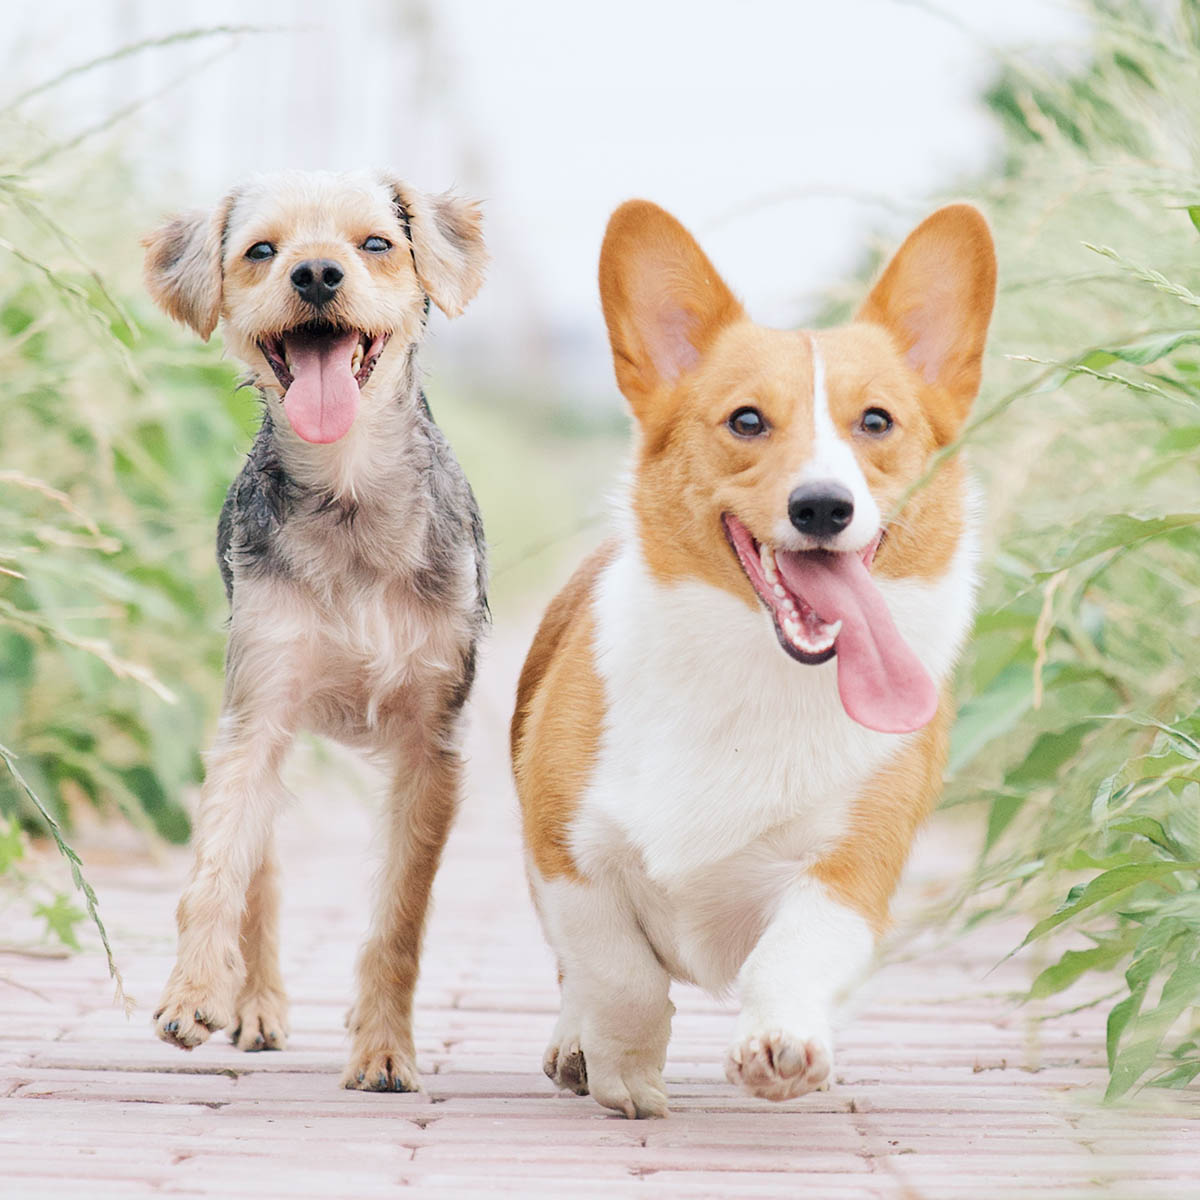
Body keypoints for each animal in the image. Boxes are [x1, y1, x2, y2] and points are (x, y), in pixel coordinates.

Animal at [144, 171, 487, 1099]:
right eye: (262, 250)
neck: (349, 491)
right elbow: (217, 870)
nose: (317, 274)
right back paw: (253, 1003)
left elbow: (400, 916)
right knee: (257, 869)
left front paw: (383, 1049)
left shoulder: (430, 746)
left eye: (377, 244)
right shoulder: (257, 709)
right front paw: (193, 990)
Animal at [511, 194, 998, 1113]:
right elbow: (618, 974)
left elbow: (796, 947)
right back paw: (574, 1045)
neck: (758, 672)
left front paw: (782, 1044)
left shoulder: (852, 869)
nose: (823, 506)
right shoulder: (567, 854)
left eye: (876, 421)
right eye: (746, 420)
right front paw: (623, 1070)